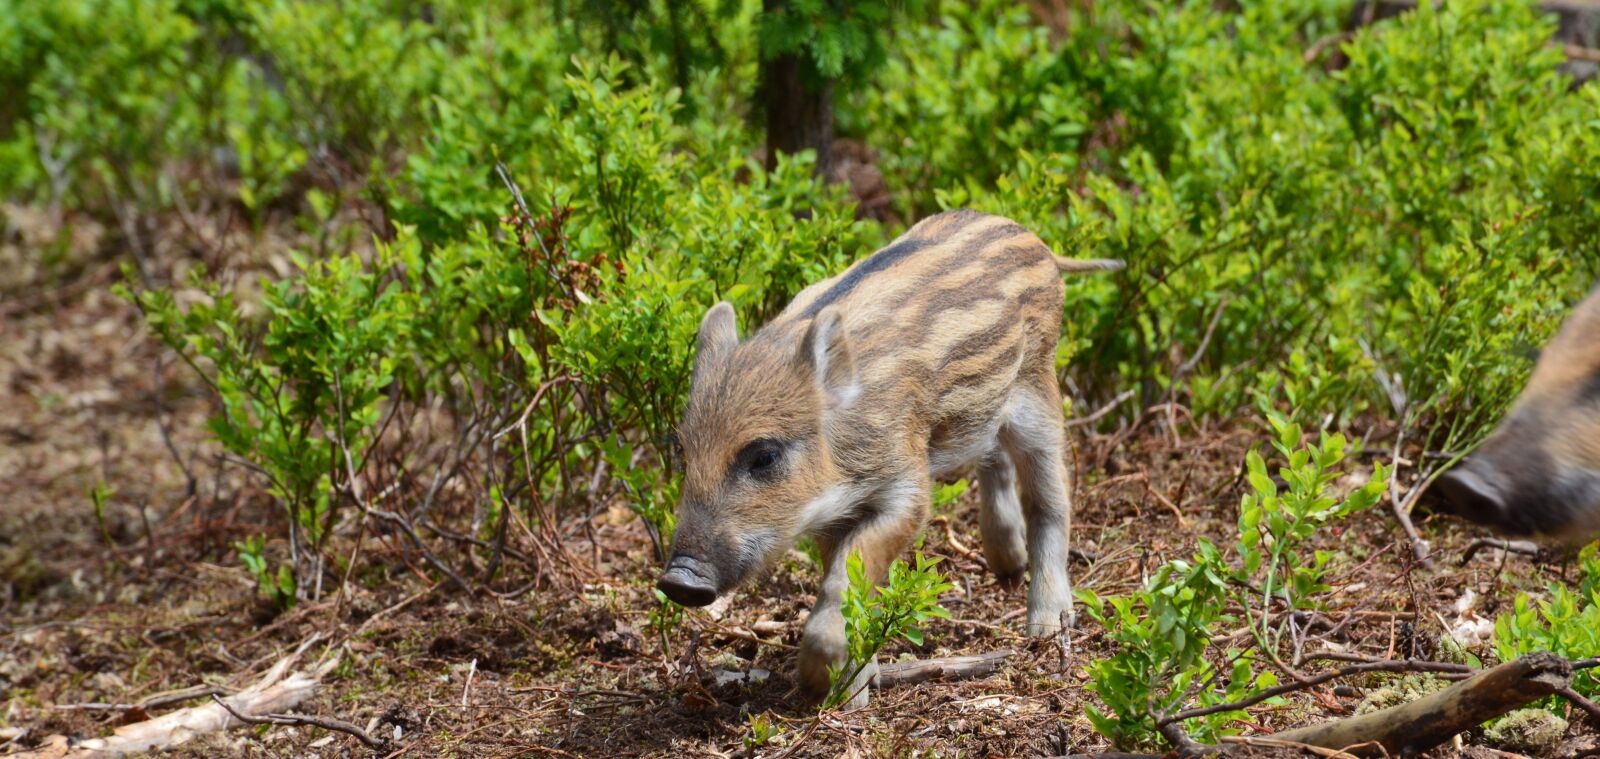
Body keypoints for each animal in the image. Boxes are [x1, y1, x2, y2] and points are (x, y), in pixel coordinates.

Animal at [655, 209, 1122, 704]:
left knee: (1050, 496)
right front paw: (852, 690)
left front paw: (820, 680)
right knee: (994, 459)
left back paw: (1046, 629)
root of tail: (1037, 242)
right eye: (683, 450)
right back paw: (1007, 566)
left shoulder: (906, 483)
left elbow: (852, 568)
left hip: (1038, 385)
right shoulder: (834, 510)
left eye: (764, 456)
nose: (678, 580)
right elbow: (846, 575)